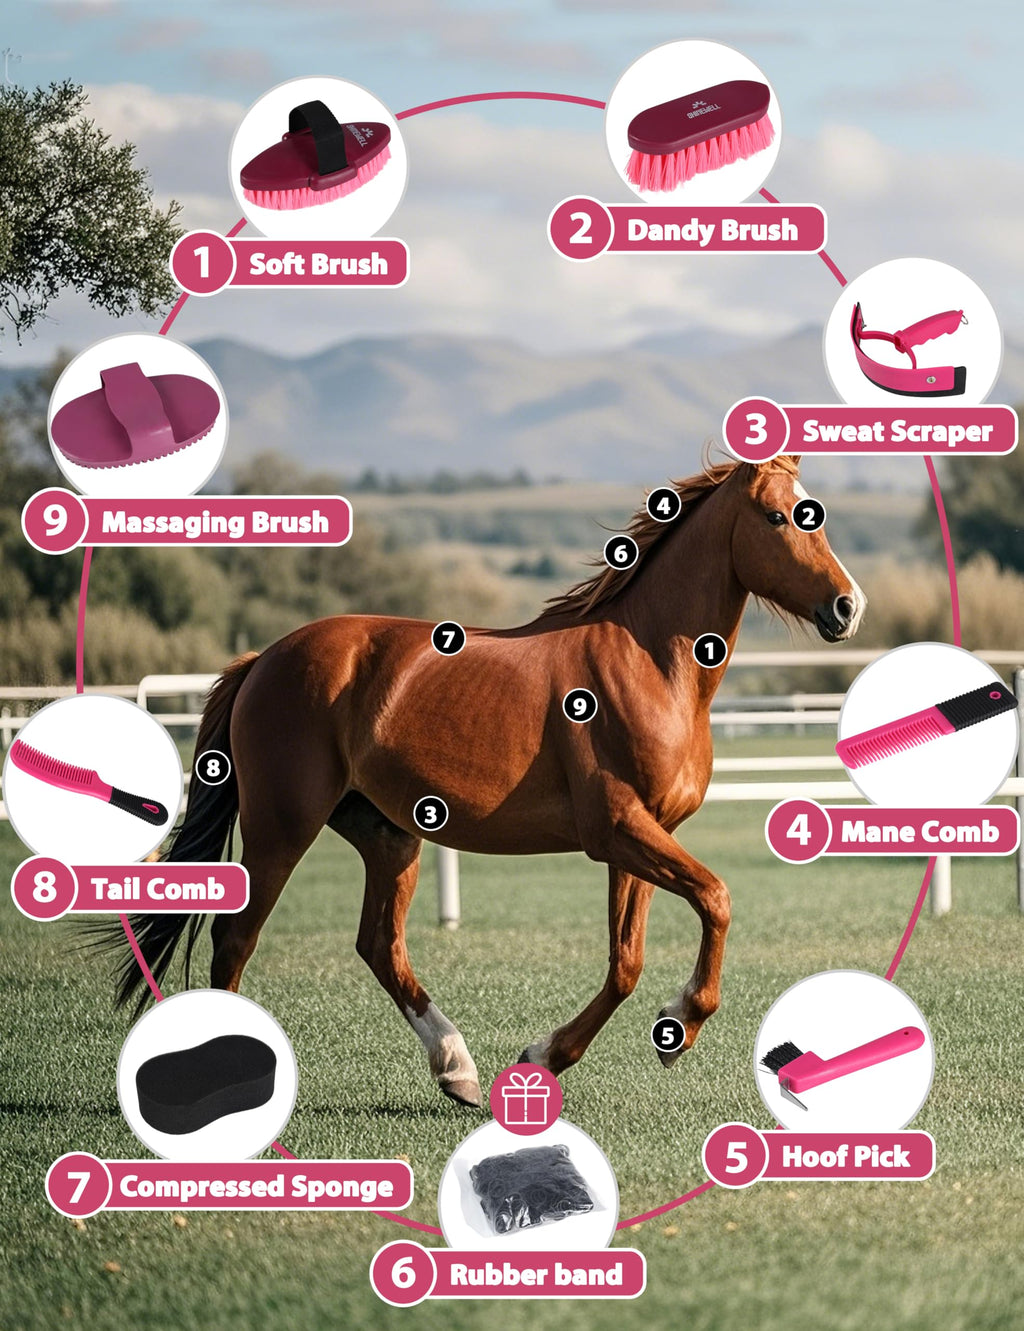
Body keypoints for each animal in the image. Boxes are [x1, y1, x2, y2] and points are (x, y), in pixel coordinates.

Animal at [104, 455, 865, 1108]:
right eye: (778, 516)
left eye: (814, 514)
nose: (847, 607)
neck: (651, 663)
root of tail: (264, 658)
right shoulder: (618, 829)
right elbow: (716, 899)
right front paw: (678, 1026)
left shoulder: (643, 836)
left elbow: (626, 961)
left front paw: (547, 1057)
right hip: (280, 828)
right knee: (236, 940)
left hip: (388, 833)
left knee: (379, 945)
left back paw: (457, 1069)